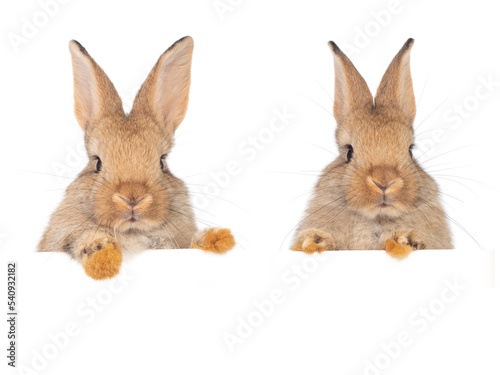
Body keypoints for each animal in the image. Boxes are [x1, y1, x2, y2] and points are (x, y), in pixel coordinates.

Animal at [37, 36, 236, 280]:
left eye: (162, 162)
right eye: (97, 162)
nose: (133, 198)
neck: (134, 232)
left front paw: (218, 239)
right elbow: (84, 240)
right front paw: (103, 259)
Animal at [292, 39, 454, 258]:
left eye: (410, 150)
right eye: (348, 152)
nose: (384, 182)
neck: (377, 217)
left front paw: (403, 240)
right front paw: (314, 241)